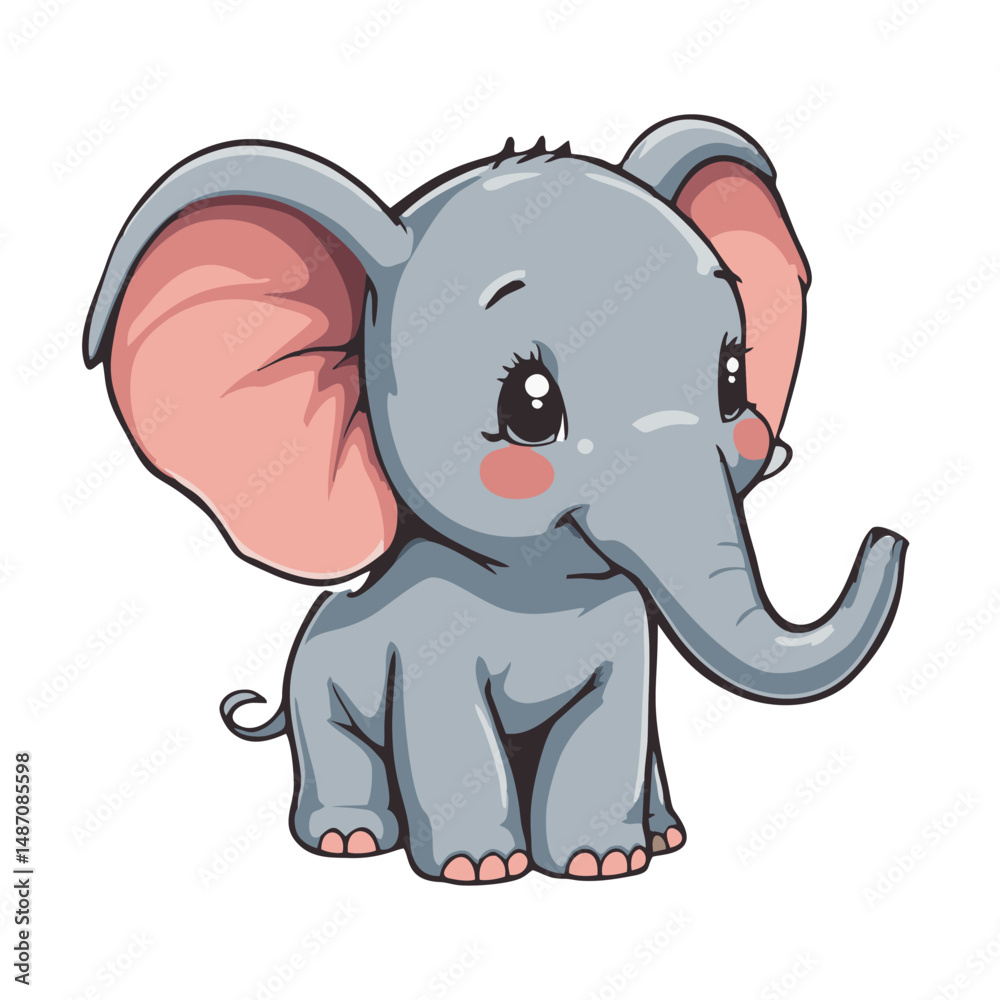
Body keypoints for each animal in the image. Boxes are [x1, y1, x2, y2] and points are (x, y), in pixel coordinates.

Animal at [84, 115, 907, 884]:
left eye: (733, 381)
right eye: (531, 405)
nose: (887, 537)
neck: (537, 587)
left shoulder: (626, 628)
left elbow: (611, 721)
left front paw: (604, 863)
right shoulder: (427, 639)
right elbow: (451, 727)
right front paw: (478, 870)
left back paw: (663, 835)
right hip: (314, 676)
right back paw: (349, 840)